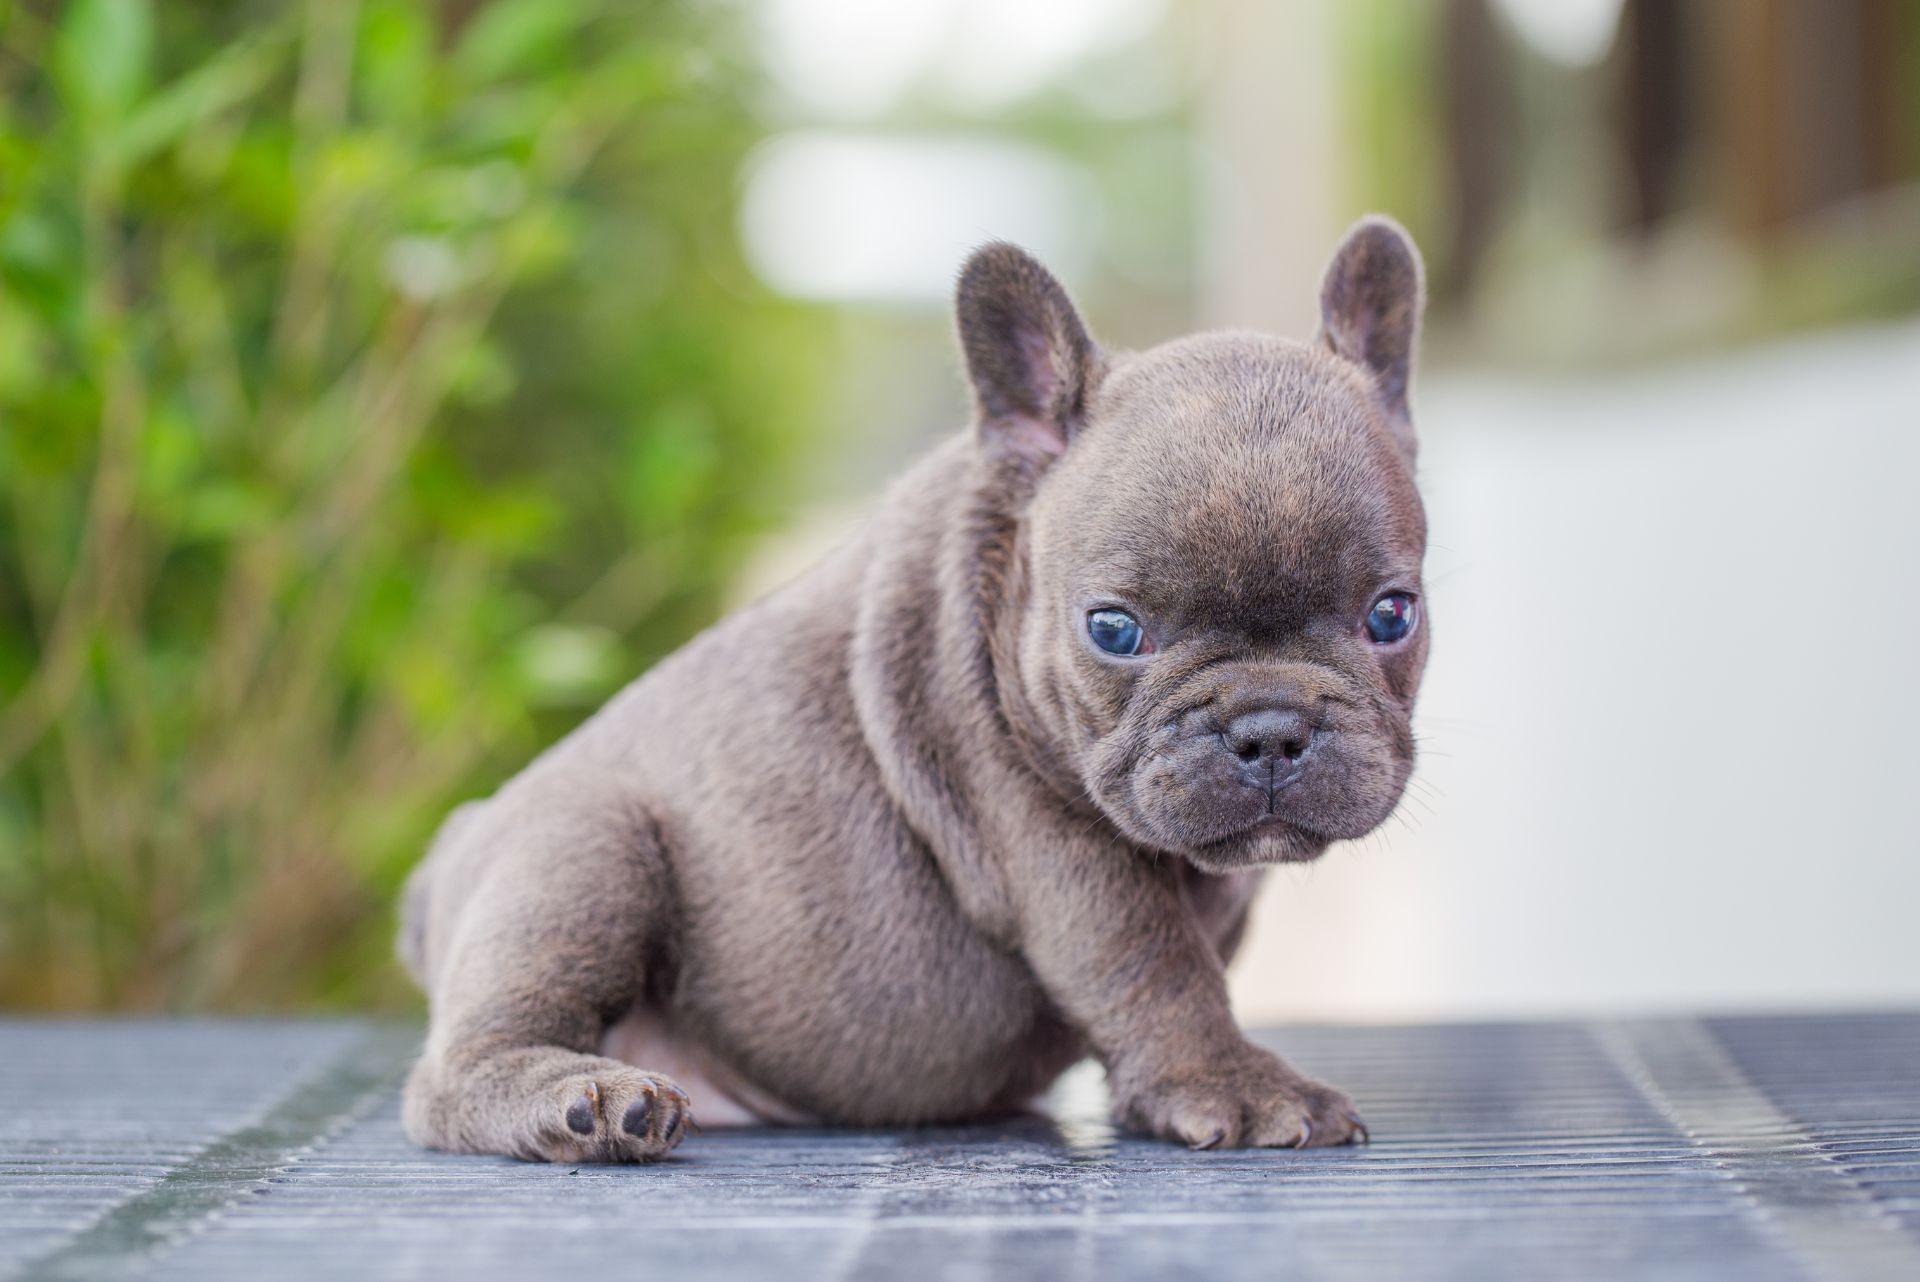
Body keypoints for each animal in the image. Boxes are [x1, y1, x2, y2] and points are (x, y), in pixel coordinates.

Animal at [401, 217, 1428, 1159]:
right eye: (1113, 630)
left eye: (1392, 615)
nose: (1269, 726)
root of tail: (447, 859)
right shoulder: (1053, 843)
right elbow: (1155, 966)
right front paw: (1235, 1082)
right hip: (582, 854)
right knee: (453, 1068)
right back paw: (582, 1099)